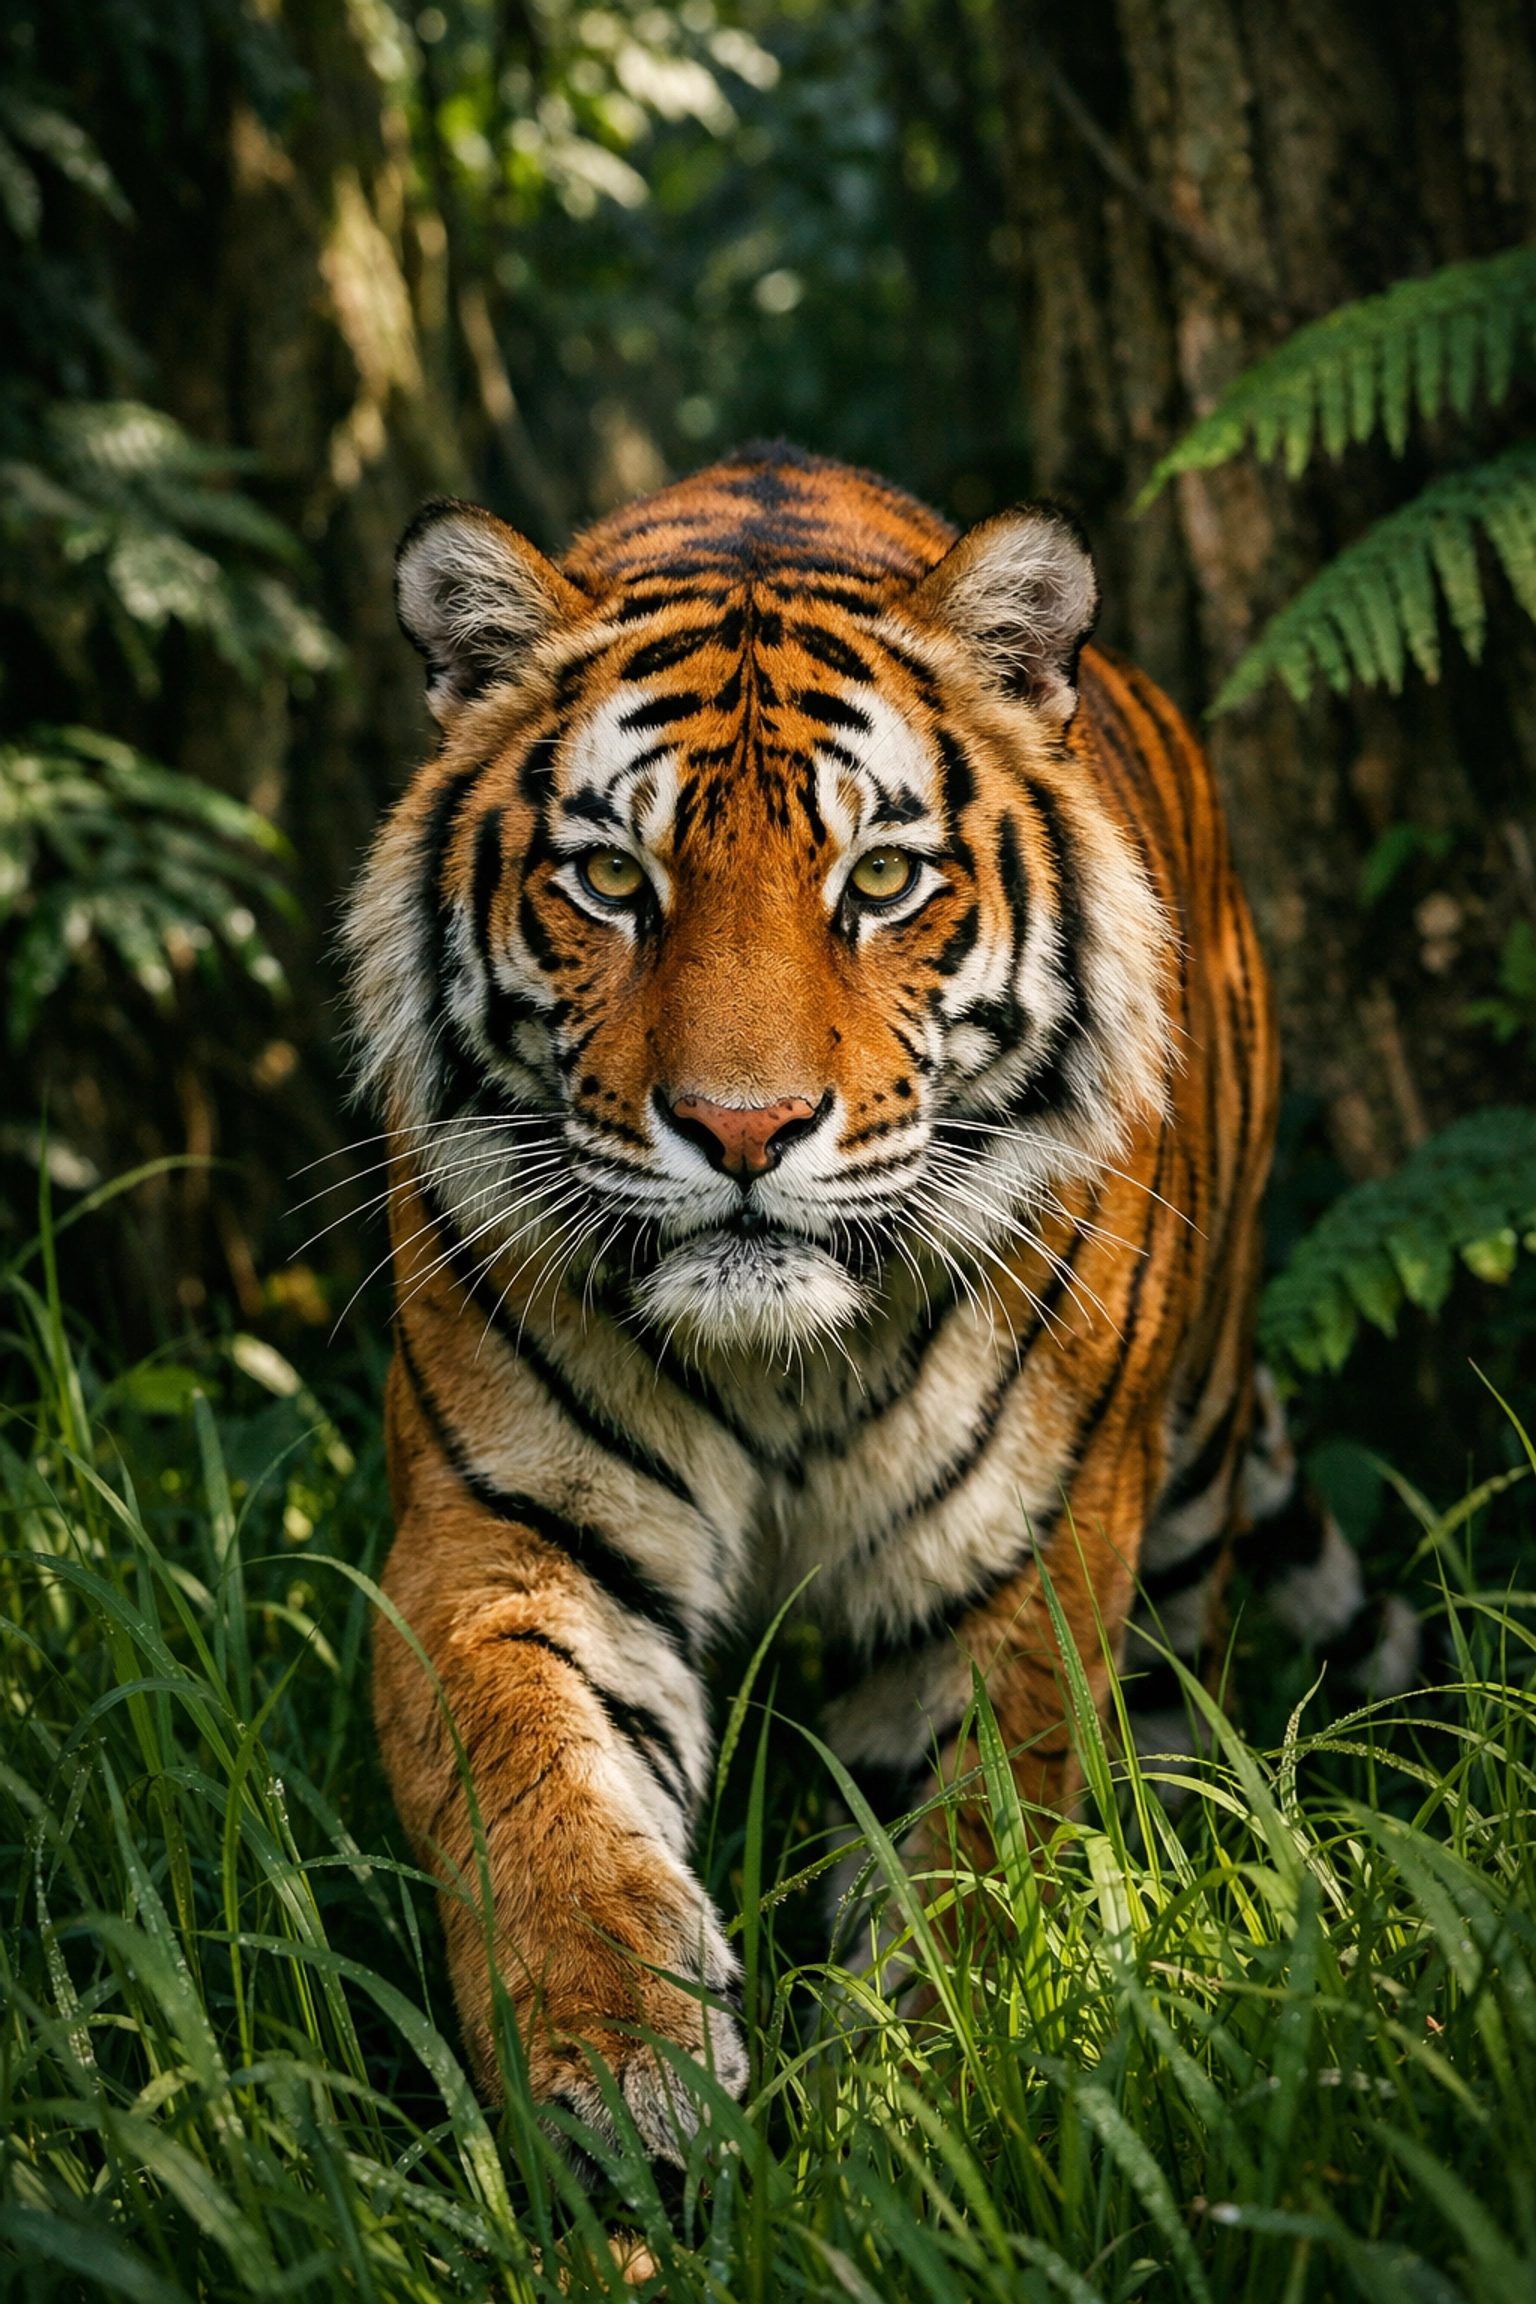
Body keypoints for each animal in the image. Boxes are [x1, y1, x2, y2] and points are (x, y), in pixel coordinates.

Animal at [346, 440, 1280, 2160]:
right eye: (610, 878)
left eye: (884, 878)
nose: (742, 1127)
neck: (783, 1366)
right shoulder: (505, 1528)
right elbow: (541, 1803)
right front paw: (621, 2083)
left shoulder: (1013, 1571)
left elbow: (968, 1865)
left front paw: (925, 2109)